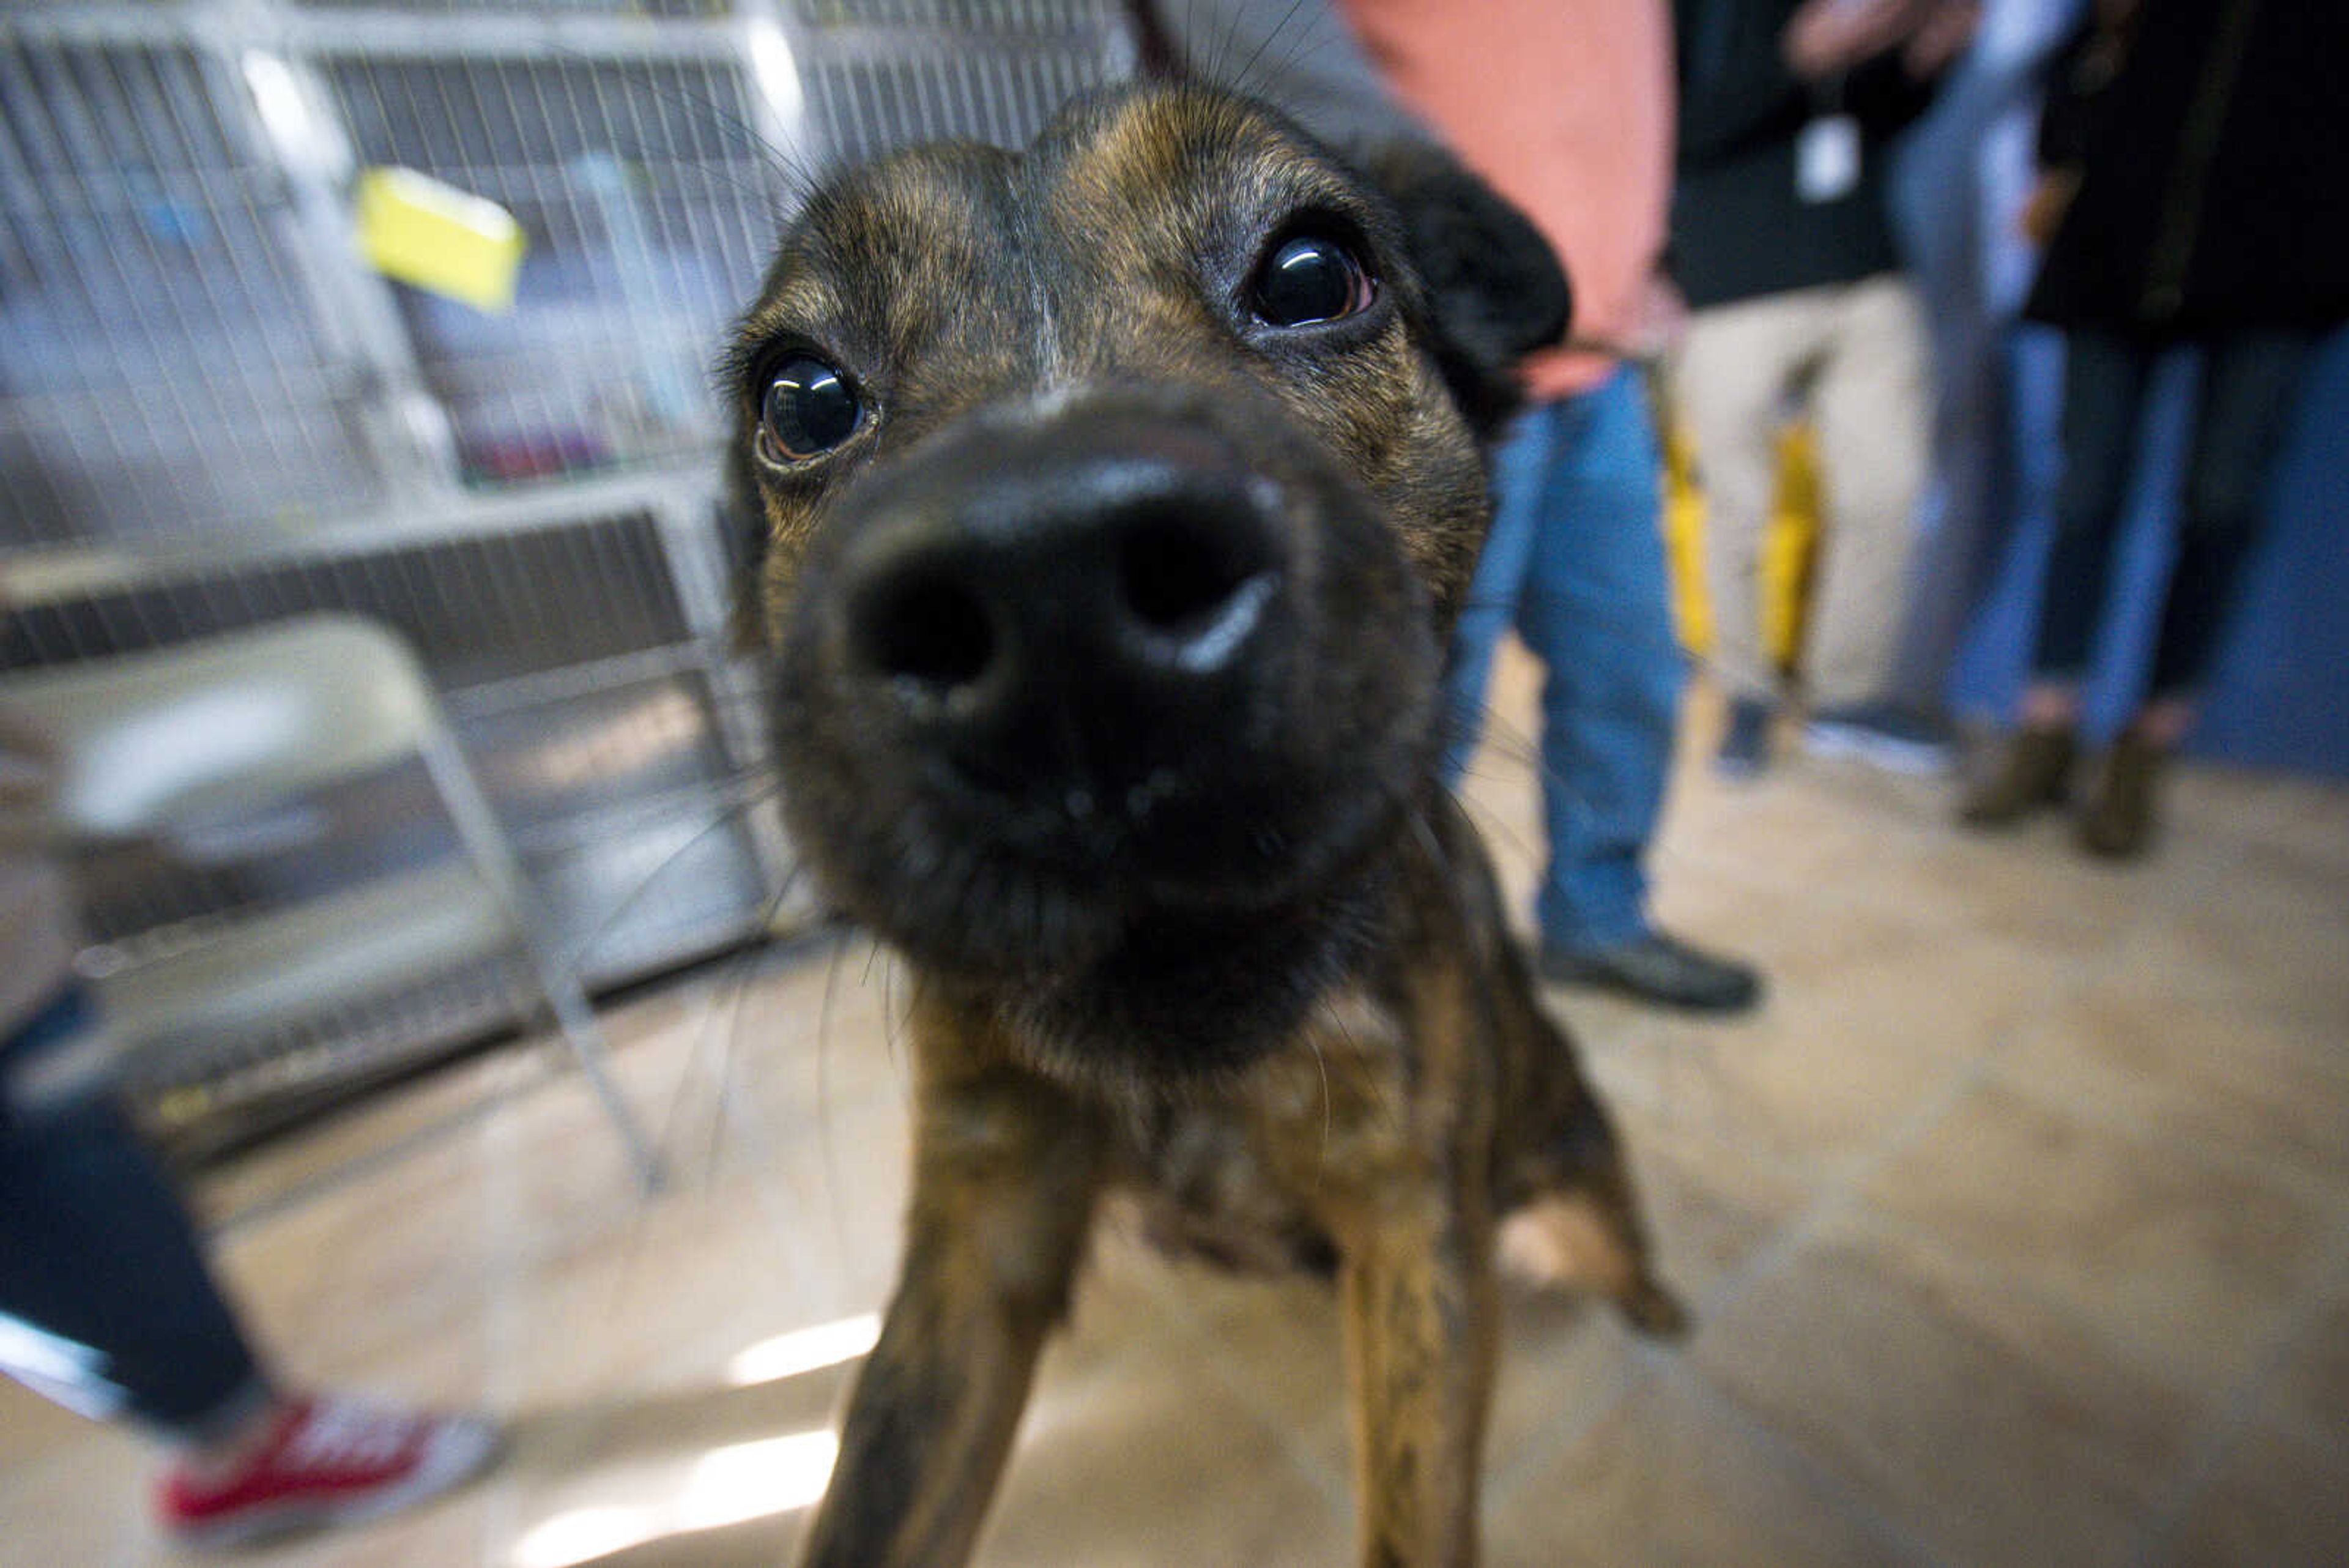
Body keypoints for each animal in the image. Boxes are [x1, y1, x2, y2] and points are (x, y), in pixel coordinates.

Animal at [733, 80, 1691, 1561]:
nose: (1051, 595)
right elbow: (871, 1502)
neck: (1200, 1074)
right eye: (803, 396)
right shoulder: (977, 1225)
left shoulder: (1416, 1219)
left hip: (1567, 1170)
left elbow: (1418, 1512)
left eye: (1310, 274)